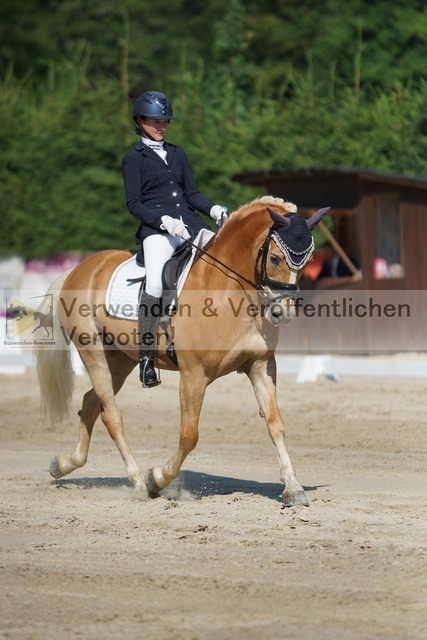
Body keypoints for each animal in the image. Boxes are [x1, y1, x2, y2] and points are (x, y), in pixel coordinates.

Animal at [35, 196, 329, 506]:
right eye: (274, 258)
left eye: (308, 261)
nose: (282, 313)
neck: (229, 290)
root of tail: (80, 267)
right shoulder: (193, 375)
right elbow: (189, 435)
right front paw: (157, 478)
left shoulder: (260, 365)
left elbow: (275, 423)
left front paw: (292, 487)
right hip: (94, 354)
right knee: (111, 416)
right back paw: (137, 482)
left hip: (119, 361)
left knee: (92, 402)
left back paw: (64, 464)